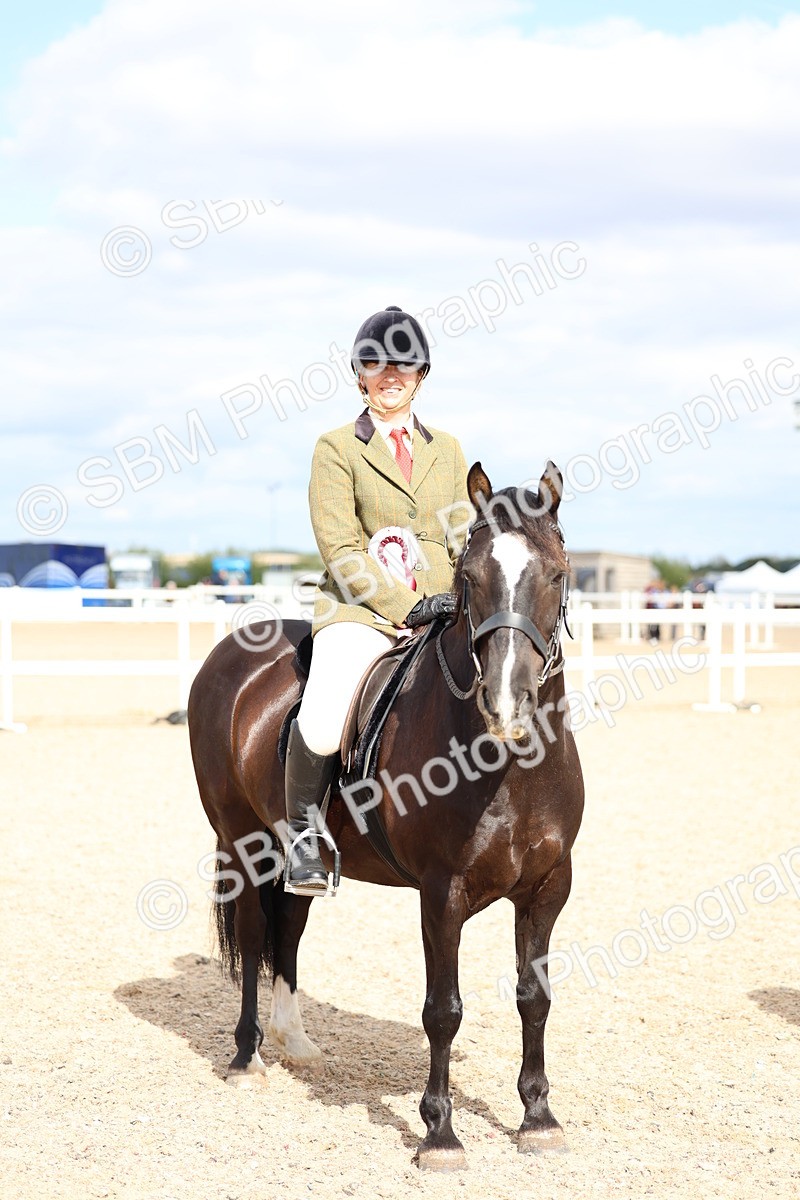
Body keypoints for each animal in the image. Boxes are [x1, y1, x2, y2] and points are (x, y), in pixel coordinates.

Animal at [187, 460, 584, 1170]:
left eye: (559, 573)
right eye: (469, 578)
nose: (506, 704)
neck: (511, 767)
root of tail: (232, 654)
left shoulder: (547, 888)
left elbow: (533, 998)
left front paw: (538, 1117)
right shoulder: (441, 893)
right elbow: (443, 1010)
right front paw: (440, 1133)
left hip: (298, 857)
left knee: (289, 929)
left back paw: (297, 1044)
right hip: (241, 842)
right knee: (258, 934)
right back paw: (246, 1056)